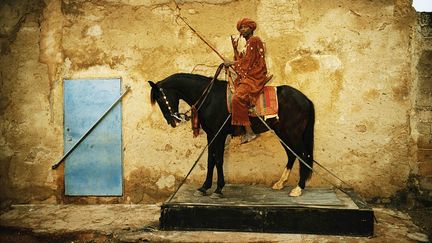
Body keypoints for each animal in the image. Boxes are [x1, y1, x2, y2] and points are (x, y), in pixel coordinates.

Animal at [148, 70, 314, 197]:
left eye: (160, 99)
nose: (172, 121)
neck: (210, 98)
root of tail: (305, 99)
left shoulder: (220, 135)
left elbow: (218, 160)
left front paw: (218, 189)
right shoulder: (211, 135)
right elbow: (210, 160)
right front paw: (204, 187)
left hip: (292, 134)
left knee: (302, 156)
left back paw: (298, 188)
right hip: (282, 133)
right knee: (292, 155)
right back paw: (280, 183)